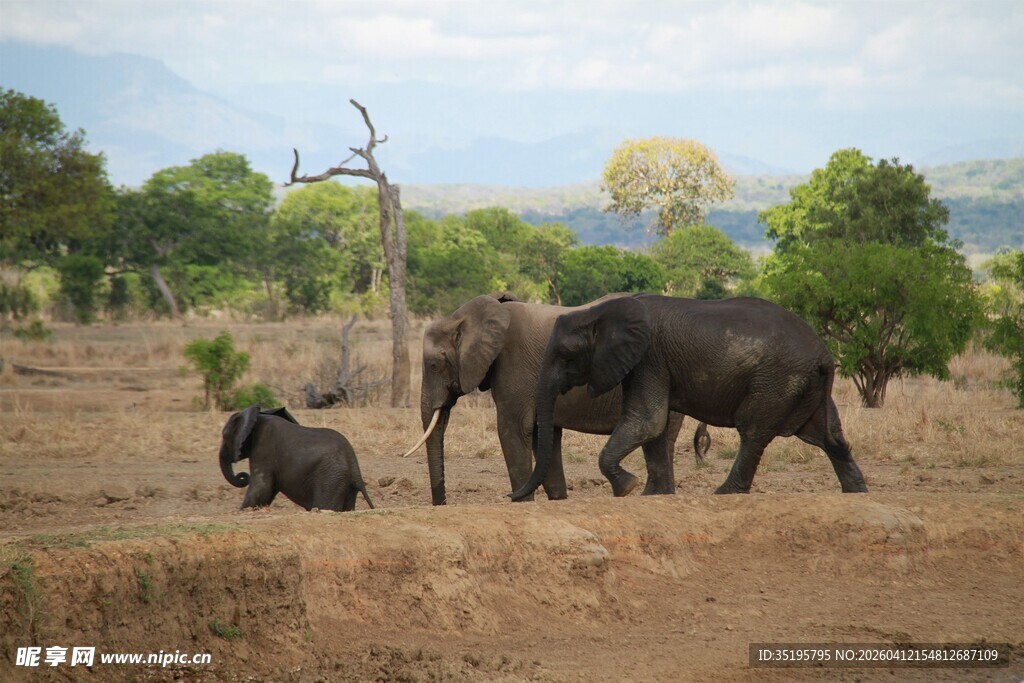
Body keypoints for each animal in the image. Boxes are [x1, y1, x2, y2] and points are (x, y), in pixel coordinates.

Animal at [220, 405, 374, 511]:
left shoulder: (263, 448)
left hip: (331, 478)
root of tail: (354, 466)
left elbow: (261, 486)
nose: (242, 476)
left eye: (224, 435)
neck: (259, 416)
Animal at [404, 293, 698, 505]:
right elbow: (544, 437)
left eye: (433, 366)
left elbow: (512, 430)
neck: (463, 317)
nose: (442, 504)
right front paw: (558, 501)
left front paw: (522, 502)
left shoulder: (514, 367)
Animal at [509, 294, 868, 500]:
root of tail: (824, 355)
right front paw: (653, 495)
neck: (601, 312)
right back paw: (856, 492)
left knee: (753, 431)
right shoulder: (647, 363)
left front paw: (626, 488)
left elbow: (648, 421)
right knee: (827, 436)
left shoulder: (649, 358)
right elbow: (654, 429)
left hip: (778, 381)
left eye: (566, 355)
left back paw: (724, 493)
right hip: (805, 386)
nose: (512, 496)